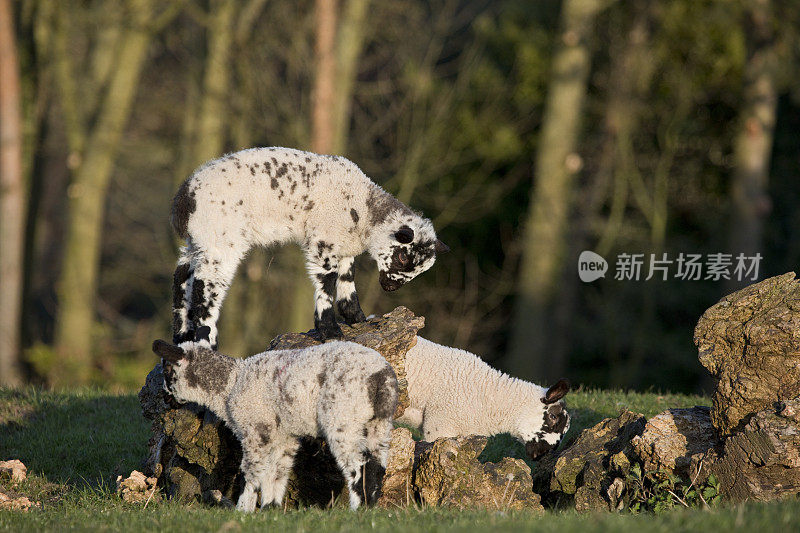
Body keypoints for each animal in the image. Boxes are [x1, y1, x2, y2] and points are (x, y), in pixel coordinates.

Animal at [149, 324, 396, 512]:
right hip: (379, 422)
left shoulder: (256, 427)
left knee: (357, 466)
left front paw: (243, 510)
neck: (230, 384)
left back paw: (356, 510)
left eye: (167, 371)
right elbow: (276, 472)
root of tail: (379, 375)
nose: (166, 399)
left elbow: (252, 470)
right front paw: (271, 508)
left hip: (342, 416)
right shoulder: (282, 435)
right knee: (377, 465)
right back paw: (369, 508)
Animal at [170, 147, 450, 344]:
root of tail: (185, 197)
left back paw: (182, 339)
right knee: (205, 292)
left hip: (198, 241)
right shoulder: (323, 241)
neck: (363, 209)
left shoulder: (343, 244)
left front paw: (358, 319)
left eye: (420, 271)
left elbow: (347, 282)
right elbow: (327, 283)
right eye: (403, 258)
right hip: (220, 239)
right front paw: (329, 331)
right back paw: (206, 345)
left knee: (182, 278)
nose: (390, 287)